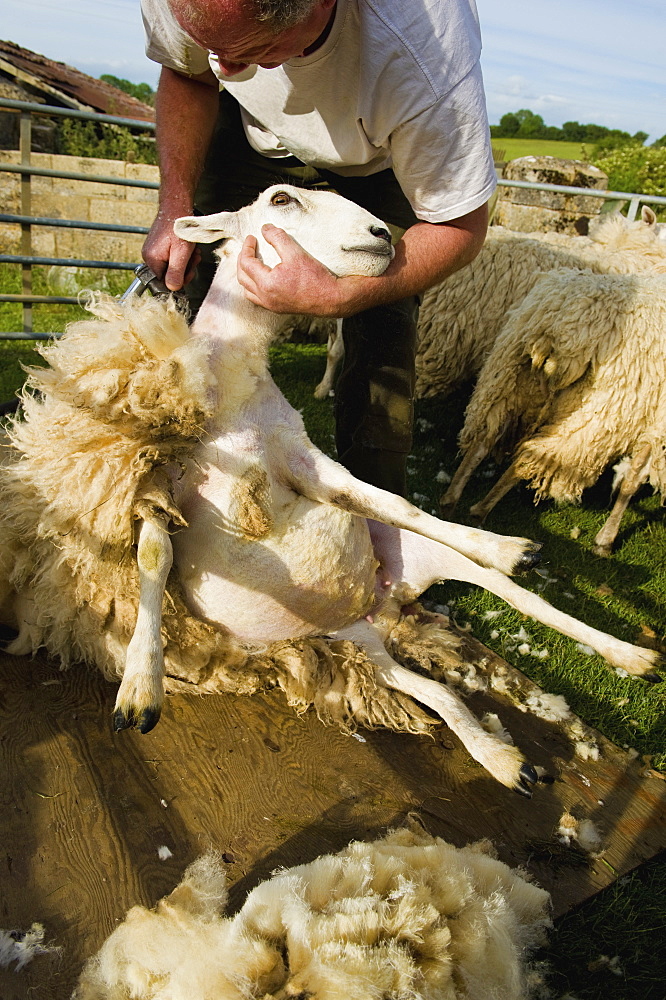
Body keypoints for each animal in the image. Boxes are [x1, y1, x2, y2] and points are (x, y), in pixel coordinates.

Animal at [440, 266, 664, 556]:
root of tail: (558, 331)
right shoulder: (655, 422)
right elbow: (633, 480)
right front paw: (605, 540)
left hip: (510, 379)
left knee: (484, 439)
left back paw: (450, 502)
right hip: (600, 412)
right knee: (533, 456)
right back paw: (481, 511)